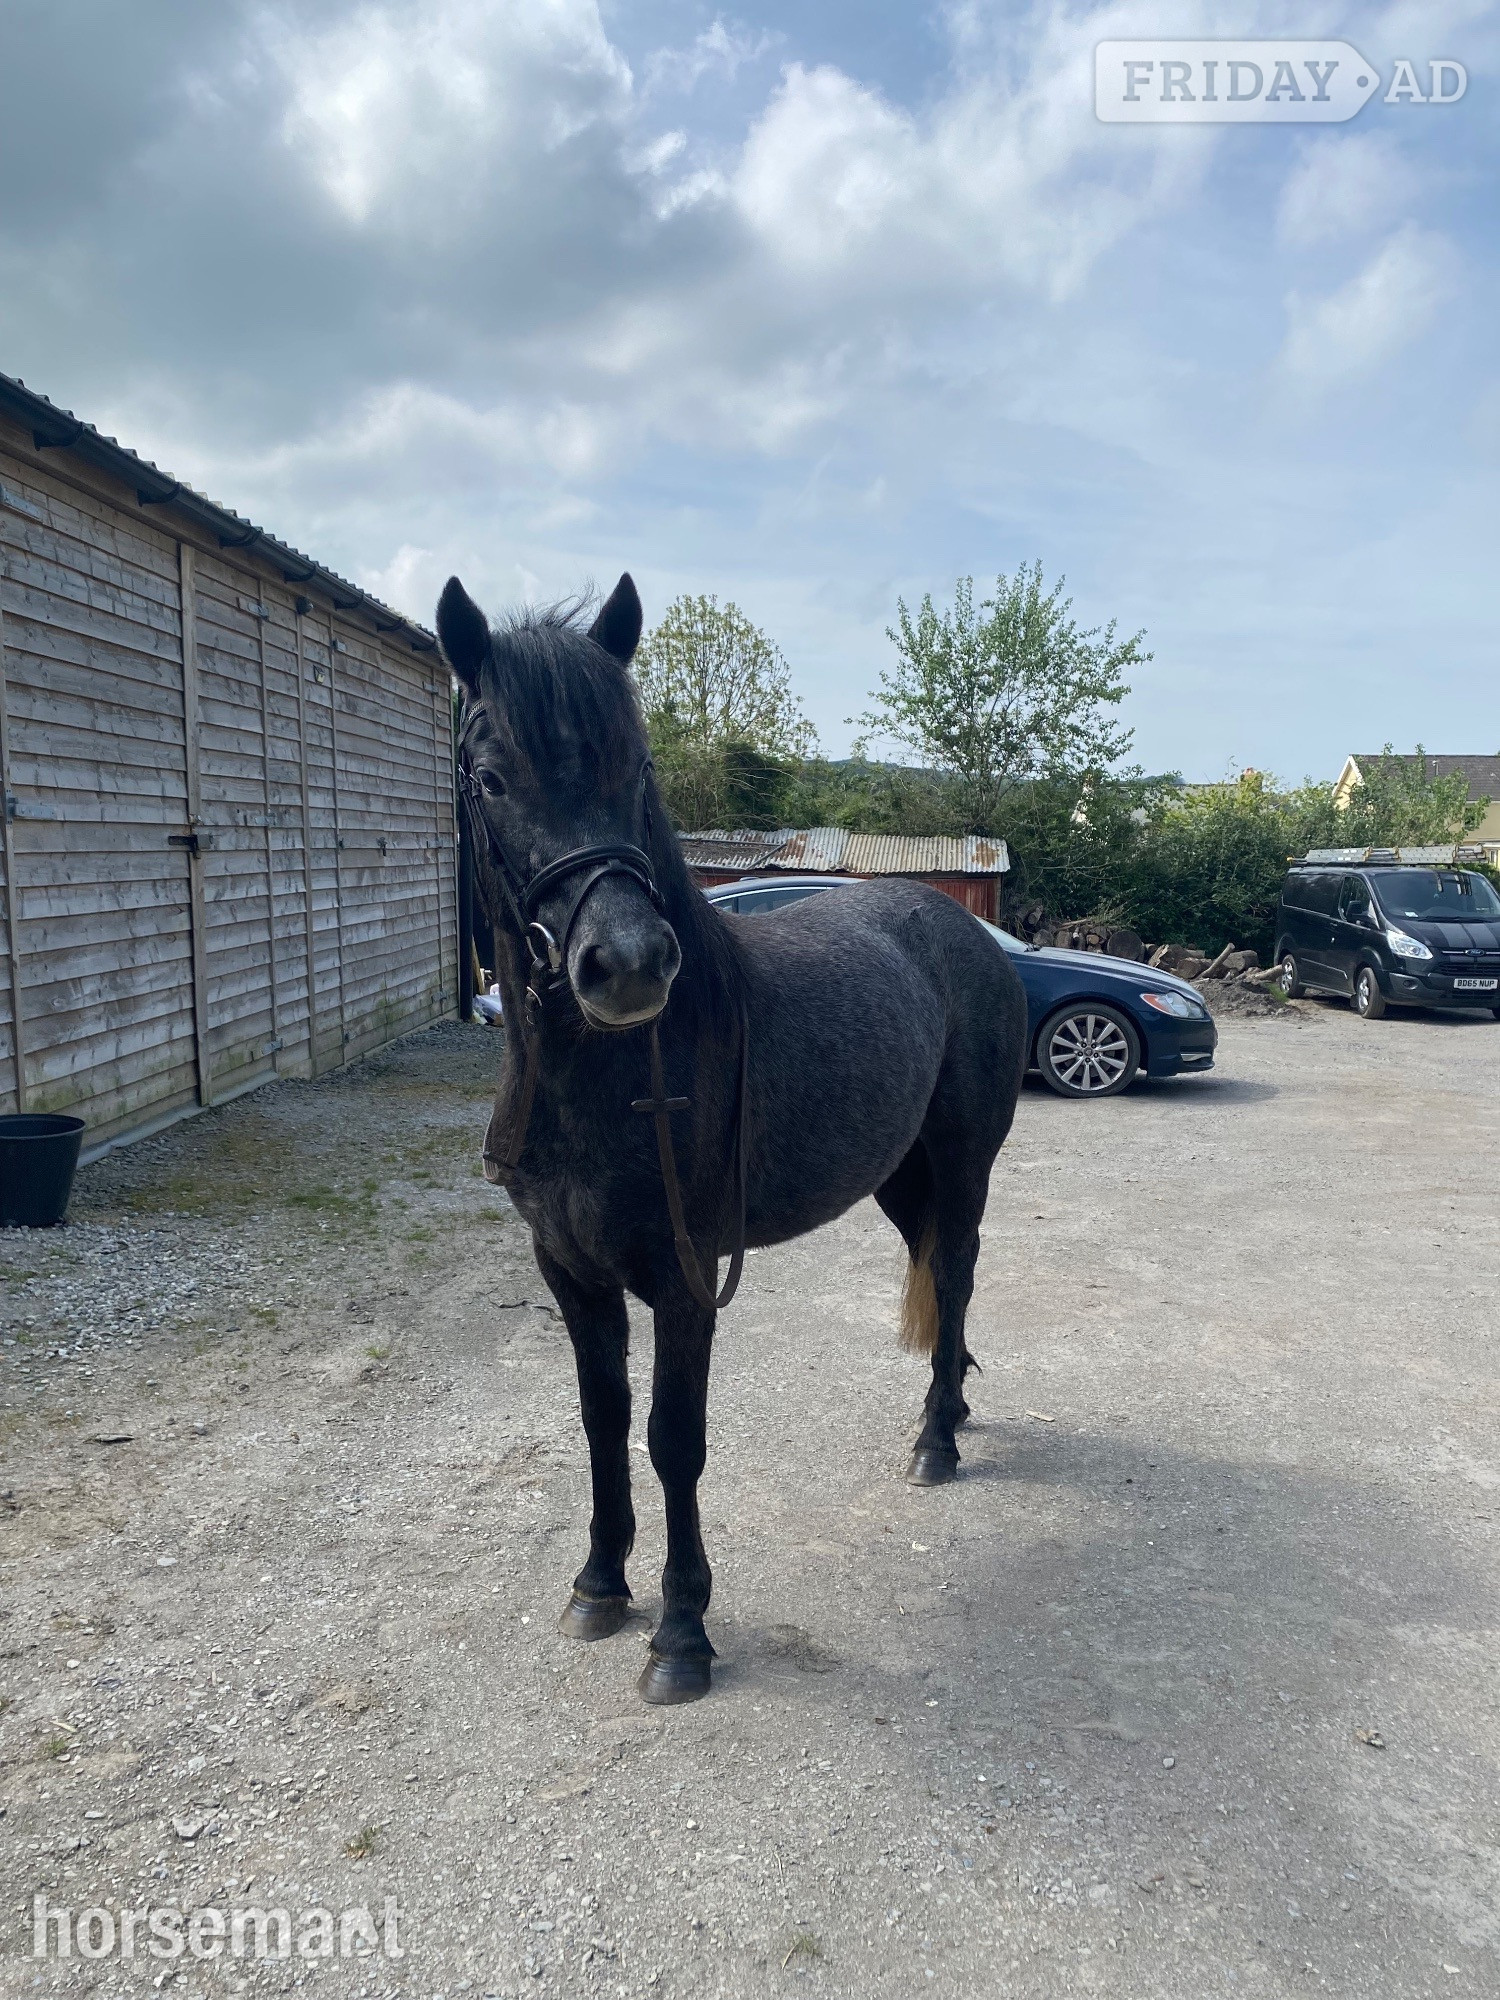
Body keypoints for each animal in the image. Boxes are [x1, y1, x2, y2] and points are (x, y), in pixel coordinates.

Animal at [437, 571, 1028, 1704]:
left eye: (636, 765)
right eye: (490, 777)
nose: (626, 964)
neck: (623, 1077)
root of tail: (966, 930)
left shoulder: (685, 1276)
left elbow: (674, 1439)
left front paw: (681, 1634)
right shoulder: (567, 1270)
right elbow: (601, 1419)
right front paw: (598, 1584)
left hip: (964, 1163)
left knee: (961, 1269)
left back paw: (936, 1440)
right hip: (897, 1177)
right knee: (940, 1271)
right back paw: (956, 1406)